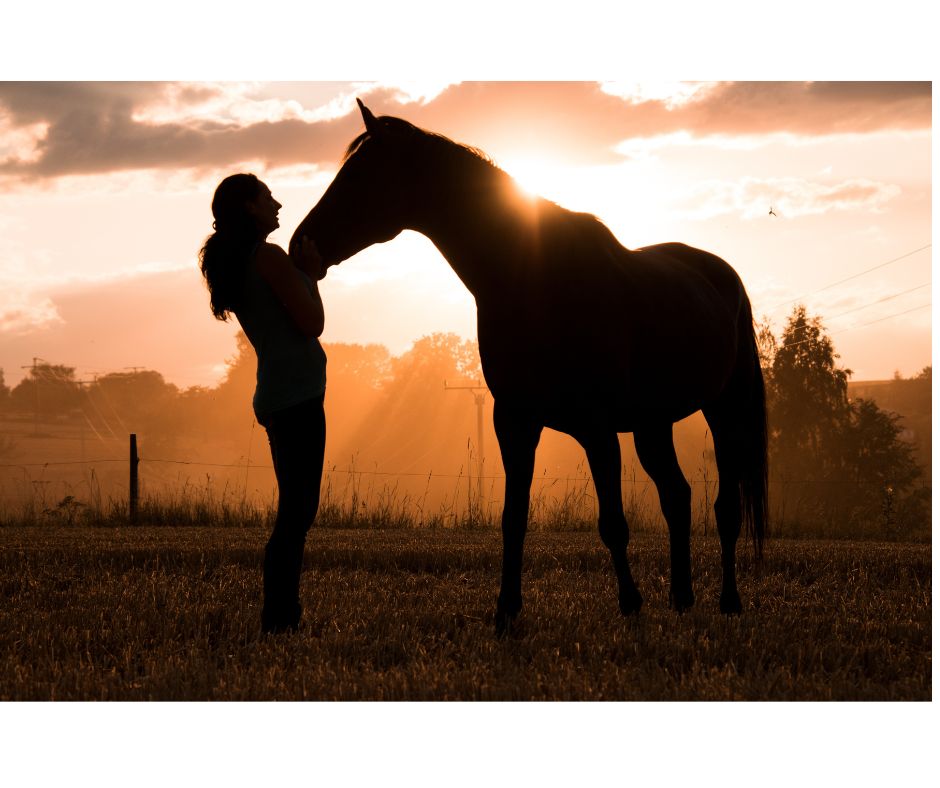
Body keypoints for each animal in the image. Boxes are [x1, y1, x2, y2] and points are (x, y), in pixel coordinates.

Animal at [292, 100, 768, 634]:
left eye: (360, 175)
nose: (299, 243)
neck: (536, 280)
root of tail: (722, 275)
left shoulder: (596, 428)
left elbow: (613, 522)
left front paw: (629, 603)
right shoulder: (514, 421)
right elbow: (513, 518)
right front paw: (506, 610)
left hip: (725, 412)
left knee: (725, 508)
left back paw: (728, 600)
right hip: (653, 425)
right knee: (677, 497)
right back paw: (682, 597)